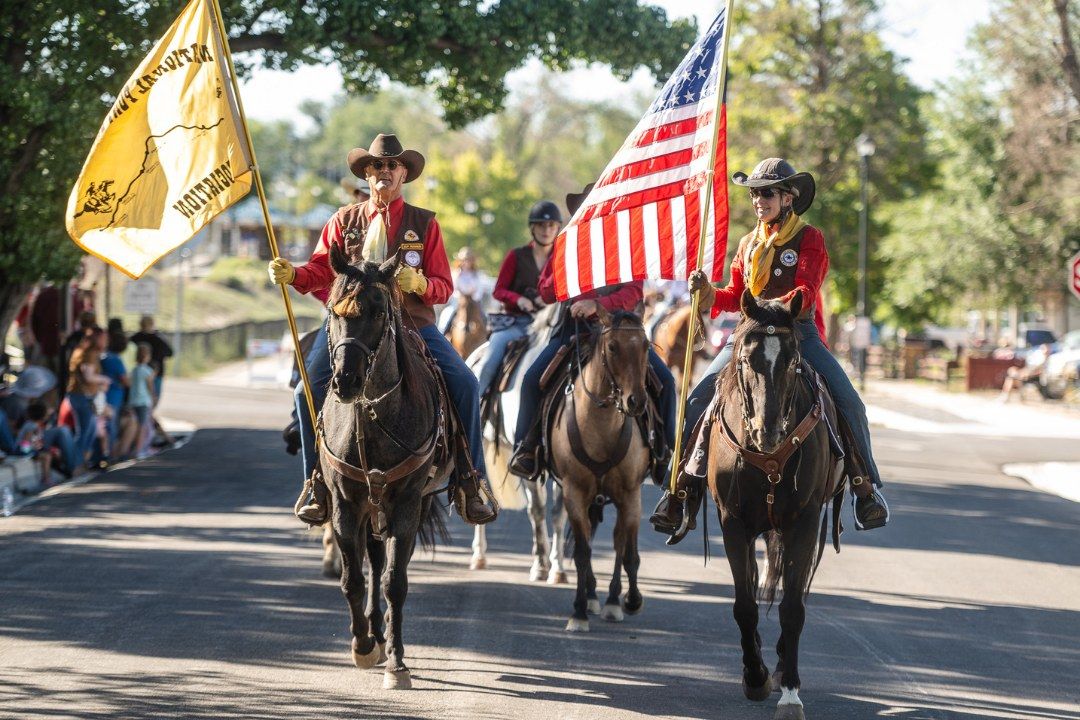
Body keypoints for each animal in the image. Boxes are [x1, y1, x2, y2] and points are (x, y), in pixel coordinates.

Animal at [319, 245, 455, 690]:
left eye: (379, 312)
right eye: (334, 310)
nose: (345, 381)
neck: (372, 419)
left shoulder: (407, 505)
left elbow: (395, 582)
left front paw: (397, 663)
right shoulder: (345, 505)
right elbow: (353, 579)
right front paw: (362, 645)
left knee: (387, 568)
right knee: (373, 563)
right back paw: (373, 636)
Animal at [548, 310, 648, 630]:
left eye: (646, 346)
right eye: (613, 347)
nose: (635, 401)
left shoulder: (630, 495)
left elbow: (626, 552)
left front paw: (626, 601)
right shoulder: (574, 493)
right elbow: (582, 553)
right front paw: (579, 611)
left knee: (620, 543)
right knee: (590, 538)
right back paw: (591, 597)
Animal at [699, 289, 842, 720]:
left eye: (794, 361)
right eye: (747, 359)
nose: (769, 431)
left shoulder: (804, 522)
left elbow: (792, 608)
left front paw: (790, 693)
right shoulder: (732, 522)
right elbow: (744, 605)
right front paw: (754, 676)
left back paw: (779, 665)